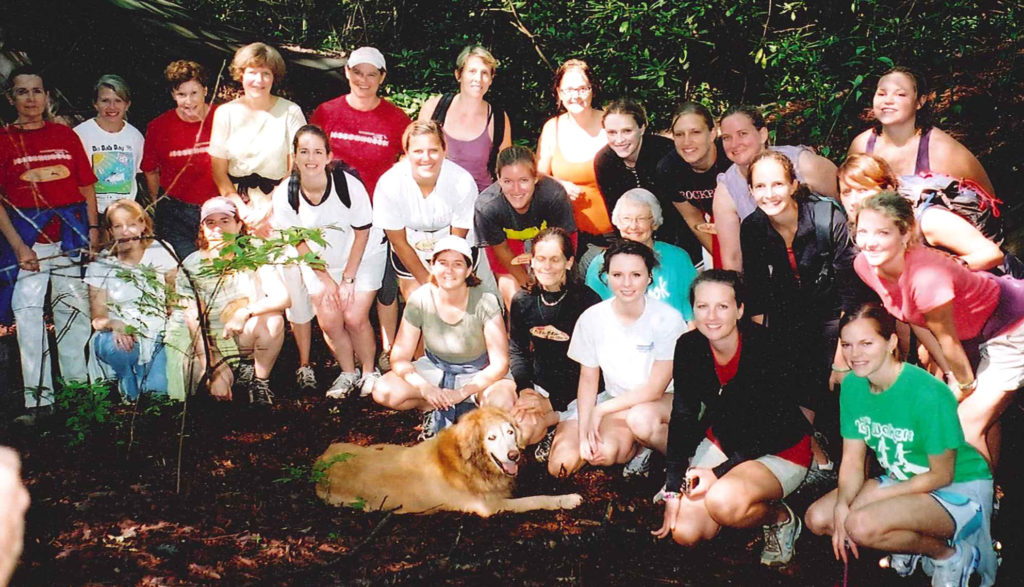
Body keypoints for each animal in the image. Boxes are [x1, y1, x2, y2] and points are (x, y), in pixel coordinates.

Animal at [311, 405, 585, 514]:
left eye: (510, 432)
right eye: (491, 437)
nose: (514, 455)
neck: (470, 464)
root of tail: (319, 462)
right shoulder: (491, 506)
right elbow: (535, 499)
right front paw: (568, 498)